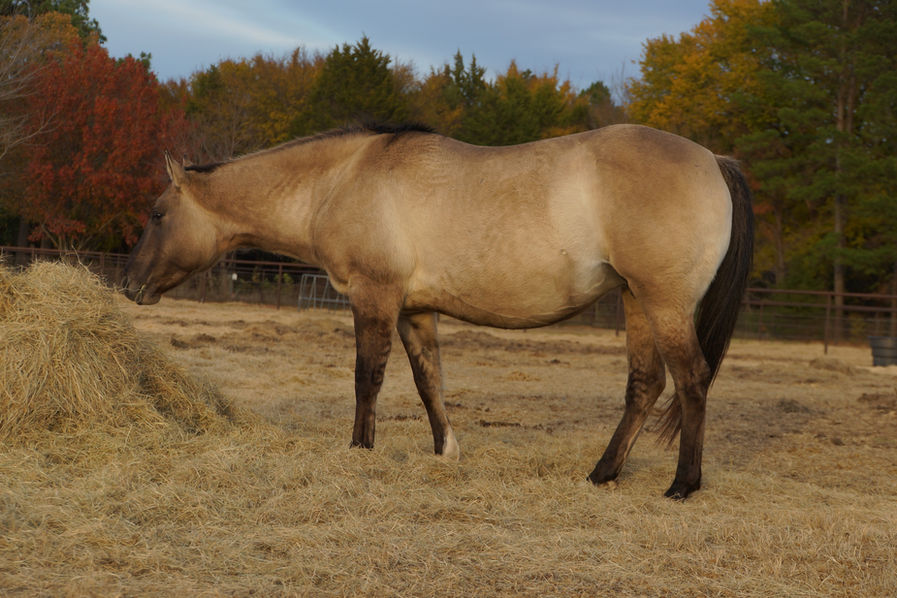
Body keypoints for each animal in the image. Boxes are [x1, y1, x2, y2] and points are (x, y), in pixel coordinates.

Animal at [122, 123, 753, 499]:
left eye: (157, 214)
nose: (128, 285)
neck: (341, 179)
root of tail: (712, 158)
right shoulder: (414, 311)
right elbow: (430, 382)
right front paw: (445, 451)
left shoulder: (374, 297)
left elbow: (367, 377)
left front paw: (360, 451)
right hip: (634, 300)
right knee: (645, 385)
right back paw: (602, 474)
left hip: (663, 302)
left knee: (691, 380)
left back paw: (683, 484)